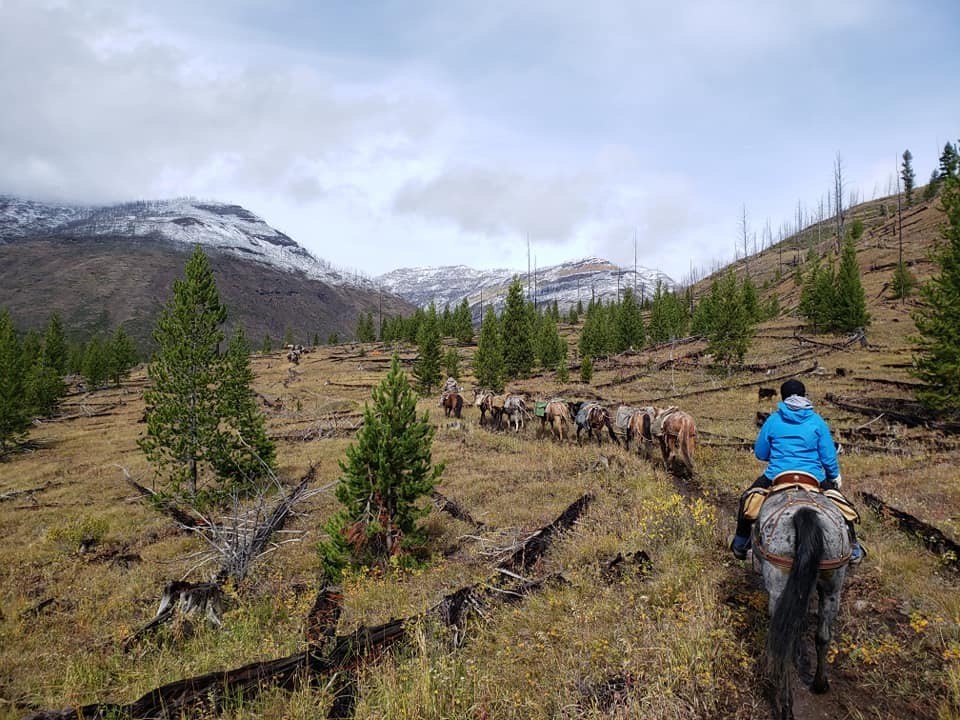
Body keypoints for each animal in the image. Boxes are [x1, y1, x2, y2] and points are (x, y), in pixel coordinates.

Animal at [752, 480, 852, 720]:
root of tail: (804, 513)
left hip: (779, 582)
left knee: (785, 645)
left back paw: (786, 708)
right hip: (833, 585)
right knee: (823, 636)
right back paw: (819, 685)